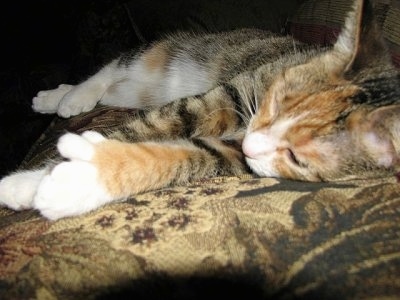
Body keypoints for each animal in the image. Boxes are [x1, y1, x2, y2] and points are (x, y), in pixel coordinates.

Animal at [0, 0, 400, 220]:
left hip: (137, 91)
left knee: (115, 87)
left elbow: (192, 155)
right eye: (274, 99)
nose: (252, 142)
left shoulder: (238, 154)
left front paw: (72, 183)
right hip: (167, 52)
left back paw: (62, 97)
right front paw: (30, 182)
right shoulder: (230, 95)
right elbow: (164, 121)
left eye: (297, 158)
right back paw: (68, 98)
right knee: (113, 68)